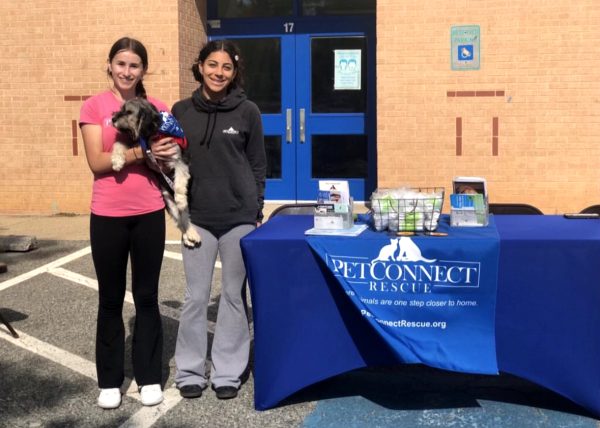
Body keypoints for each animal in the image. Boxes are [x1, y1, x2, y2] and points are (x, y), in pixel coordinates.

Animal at [109, 98, 200, 247]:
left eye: (128, 112)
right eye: (121, 109)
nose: (113, 119)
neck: (154, 131)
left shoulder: (179, 159)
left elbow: (180, 182)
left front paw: (180, 199)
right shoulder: (141, 150)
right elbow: (119, 144)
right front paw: (117, 161)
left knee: (184, 215)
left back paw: (192, 233)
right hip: (168, 202)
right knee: (179, 221)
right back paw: (188, 237)